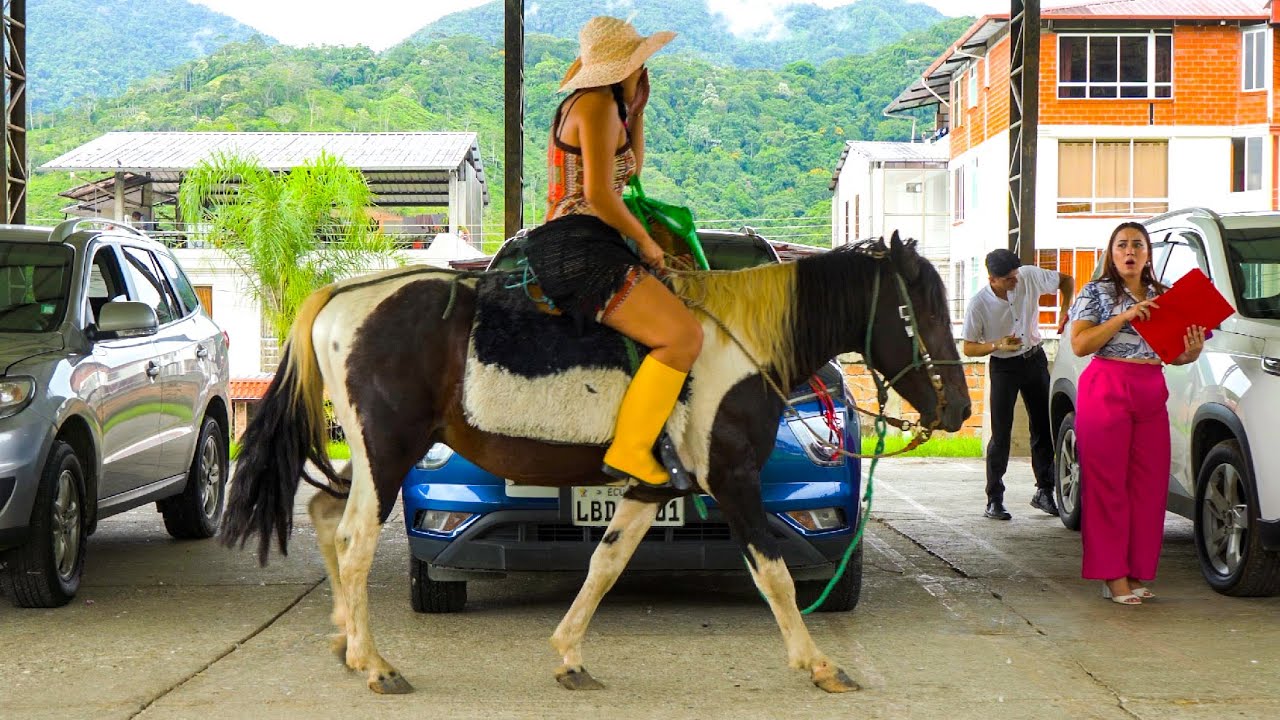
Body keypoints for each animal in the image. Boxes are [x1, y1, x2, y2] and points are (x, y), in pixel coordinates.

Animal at [221, 231, 971, 695]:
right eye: (919, 311)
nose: (960, 409)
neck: (740, 343)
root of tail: (344, 297)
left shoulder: (650, 487)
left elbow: (606, 564)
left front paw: (569, 656)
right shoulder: (732, 480)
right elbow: (777, 575)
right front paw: (818, 665)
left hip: (372, 454)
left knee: (324, 513)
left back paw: (345, 641)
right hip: (390, 451)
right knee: (353, 538)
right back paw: (375, 665)